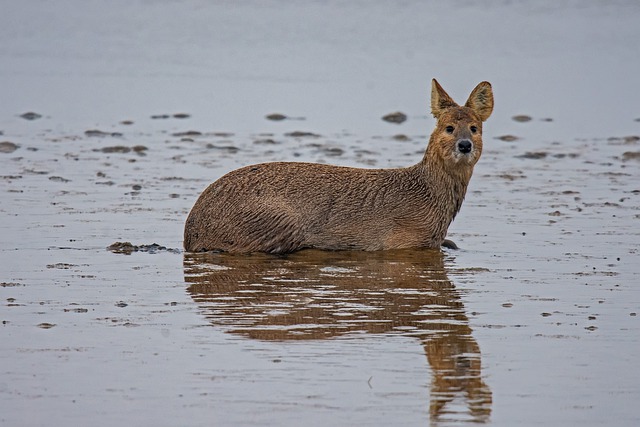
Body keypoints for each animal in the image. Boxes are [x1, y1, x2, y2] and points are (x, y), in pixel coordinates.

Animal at [182, 79, 492, 254]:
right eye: (448, 127)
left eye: (475, 128)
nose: (465, 145)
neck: (428, 193)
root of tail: (190, 233)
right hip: (279, 221)